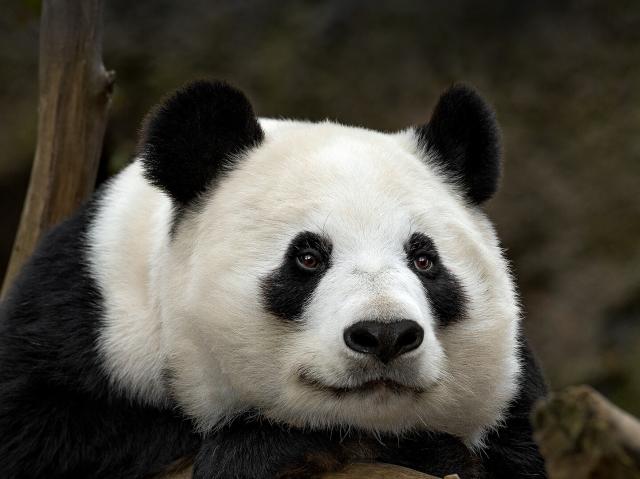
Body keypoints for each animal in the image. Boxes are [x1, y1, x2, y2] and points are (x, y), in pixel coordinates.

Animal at [0, 81, 547, 478]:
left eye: (424, 260)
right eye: (307, 258)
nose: (385, 334)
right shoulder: (85, 307)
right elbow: (38, 433)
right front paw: (263, 449)